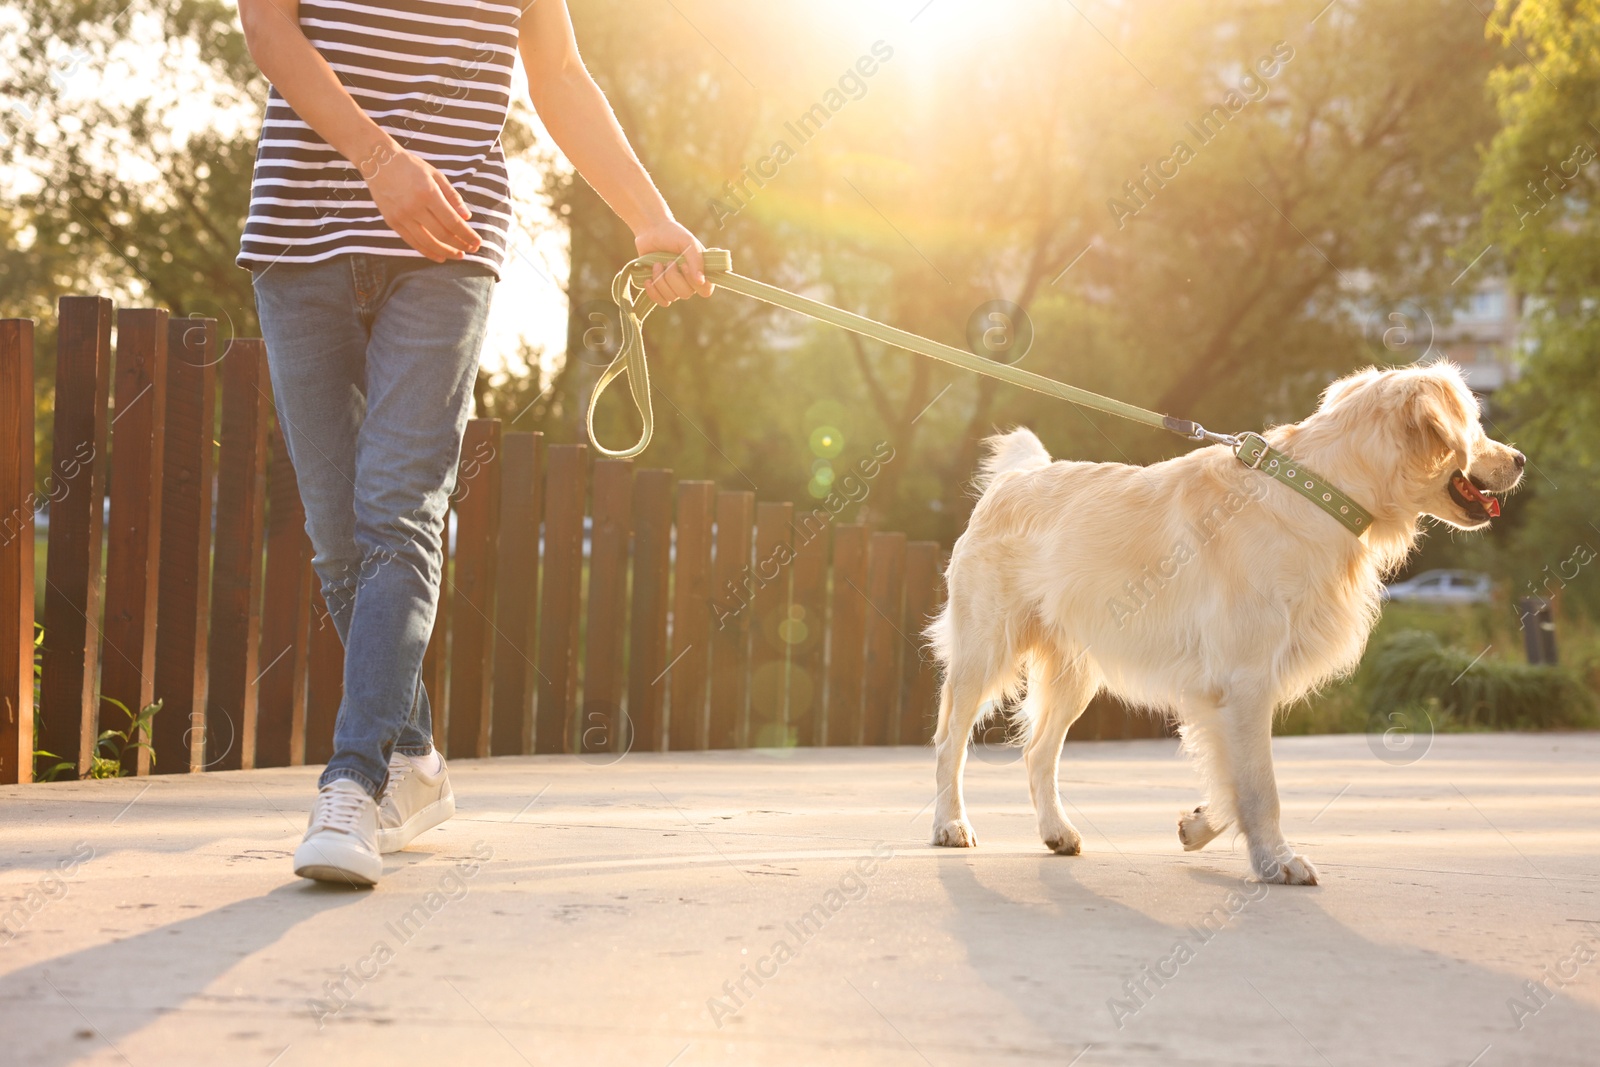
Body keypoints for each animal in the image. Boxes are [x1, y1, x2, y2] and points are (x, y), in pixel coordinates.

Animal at [928, 364, 1523, 883]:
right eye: (1474, 421)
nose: (1519, 458)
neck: (1319, 494)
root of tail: (1015, 478)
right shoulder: (1245, 679)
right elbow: (1260, 785)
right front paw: (1278, 862)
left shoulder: (1220, 691)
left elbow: (1231, 779)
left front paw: (1197, 826)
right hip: (984, 651)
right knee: (949, 741)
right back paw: (950, 825)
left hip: (1076, 670)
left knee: (1037, 753)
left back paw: (1057, 831)